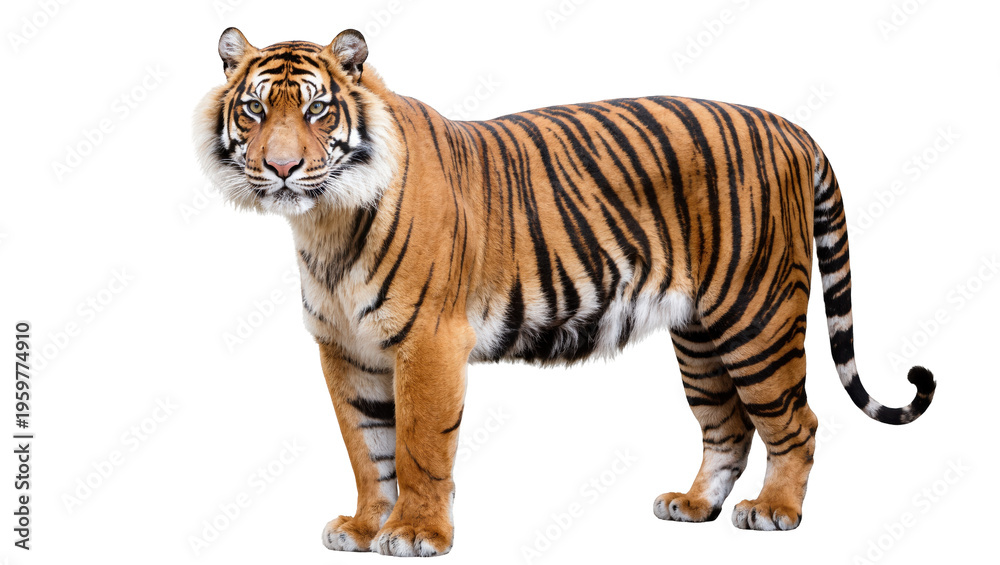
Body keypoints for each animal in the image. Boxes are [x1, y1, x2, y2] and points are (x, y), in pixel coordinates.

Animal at [194, 27, 936, 557]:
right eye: (254, 109)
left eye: (318, 110)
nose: (281, 167)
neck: (325, 221)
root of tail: (791, 127)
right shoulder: (345, 351)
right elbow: (365, 445)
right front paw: (363, 525)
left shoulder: (428, 342)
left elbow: (418, 445)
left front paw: (414, 533)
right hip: (698, 335)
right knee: (728, 425)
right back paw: (693, 505)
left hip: (755, 314)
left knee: (794, 420)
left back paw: (776, 512)